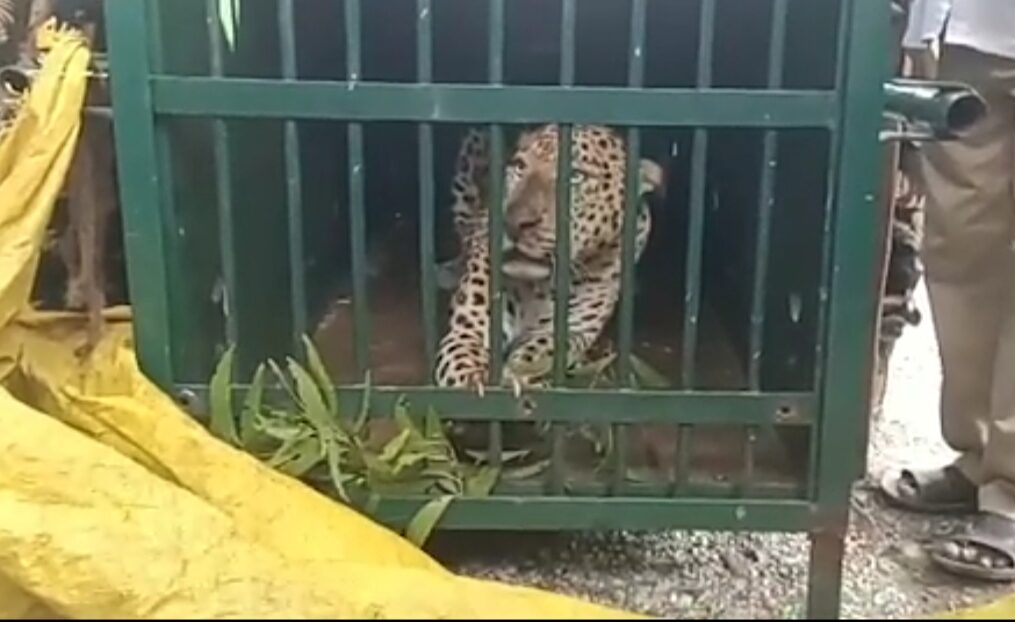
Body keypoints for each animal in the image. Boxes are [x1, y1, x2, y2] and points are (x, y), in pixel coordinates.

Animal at [430, 121, 661, 395]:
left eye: (575, 176)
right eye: (520, 167)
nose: (514, 223)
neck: (537, 288)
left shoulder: (572, 330)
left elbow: (540, 352)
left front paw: (519, 375)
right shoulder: (467, 329)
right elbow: (461, 359)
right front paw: (477, 380)